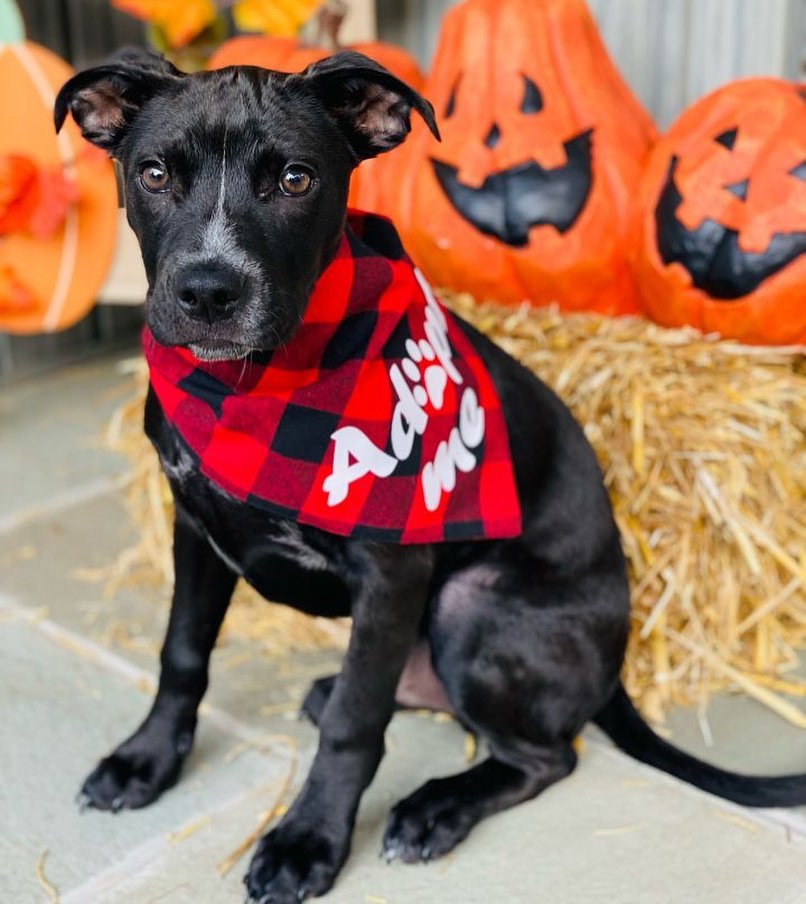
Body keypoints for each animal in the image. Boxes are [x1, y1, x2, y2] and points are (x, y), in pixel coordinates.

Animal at [56, 51, 806, 904]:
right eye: (152, 174)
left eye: (295, 180)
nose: (210, 292)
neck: (256, 387)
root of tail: (613, 665)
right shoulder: (195, 528)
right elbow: (182, 655)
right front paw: (145, 762)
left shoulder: (392, 573)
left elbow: (355, 727)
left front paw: (309, 842)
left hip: (467, 609)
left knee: (543, 754)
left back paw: (435, 809)